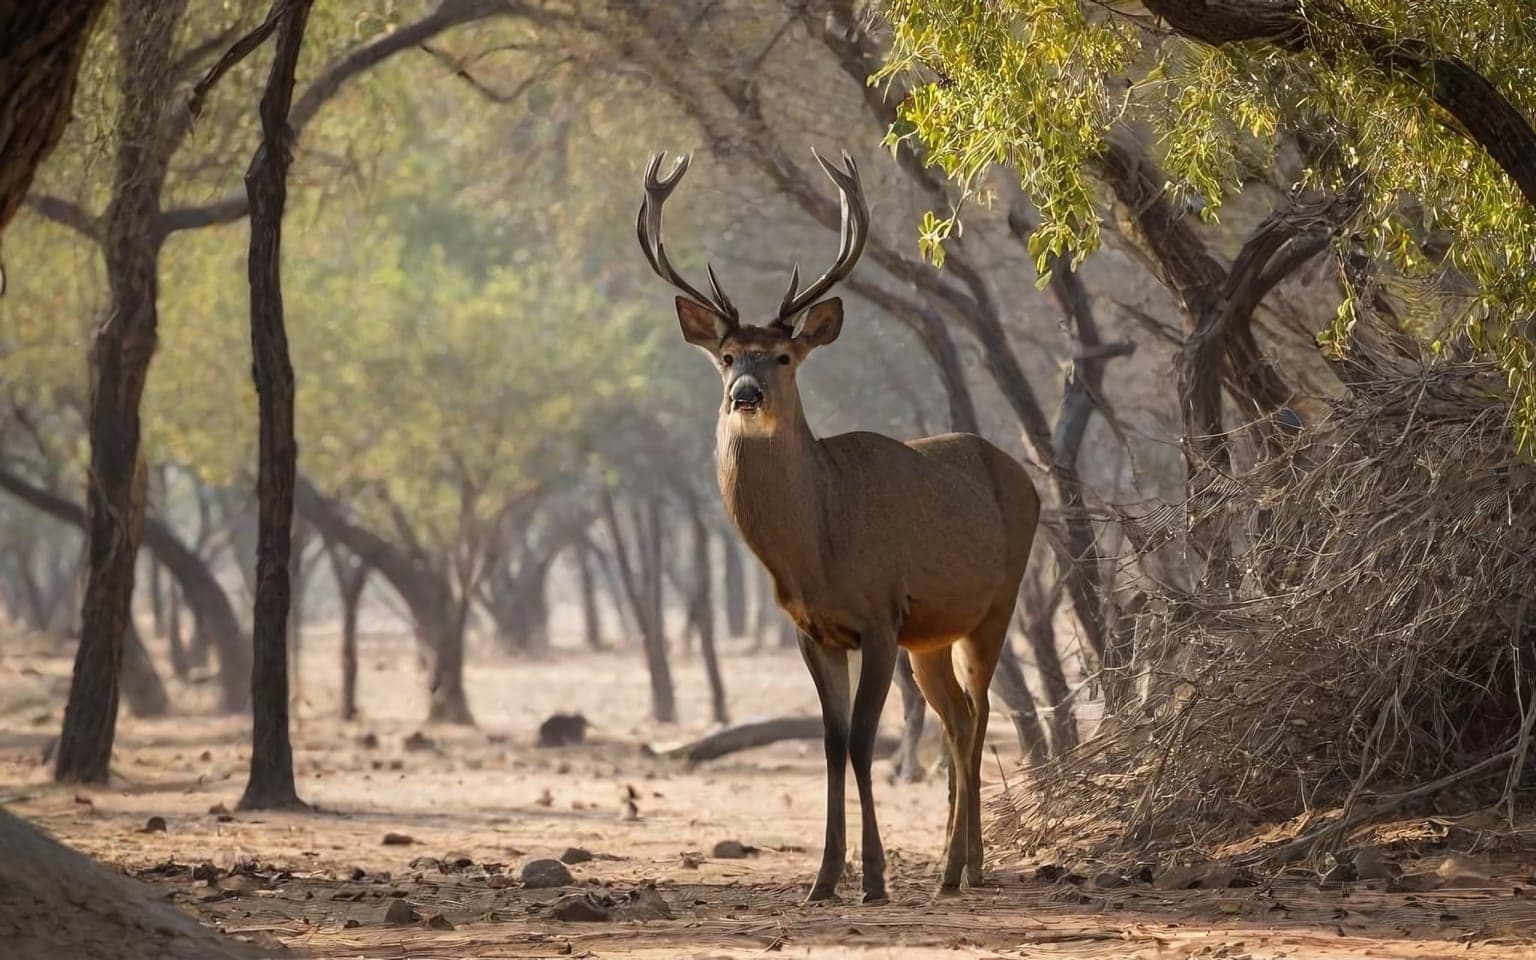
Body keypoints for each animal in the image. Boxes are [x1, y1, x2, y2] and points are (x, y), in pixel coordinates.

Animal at [636, 150, 1040, 903]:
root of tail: (1026, 477)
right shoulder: (812, 629)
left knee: (978, 717)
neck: (818, 548)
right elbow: (827, 741)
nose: (746, 395)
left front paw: (874, 878)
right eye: (727, 356)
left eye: (783, 356)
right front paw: (823, 877)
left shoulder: (879, 615)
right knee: (958, 718)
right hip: (931, 636)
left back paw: (965, 867)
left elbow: (859, 740)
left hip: (996, 603)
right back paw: (953, 869)